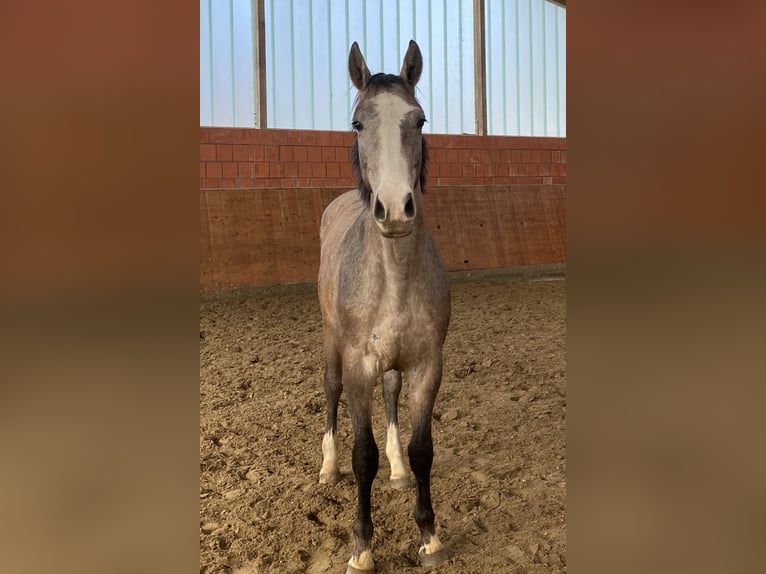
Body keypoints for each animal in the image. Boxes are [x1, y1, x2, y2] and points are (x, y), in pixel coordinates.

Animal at [317, 40, 451, 573]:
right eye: (358, 123)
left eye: (419, 119)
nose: (395, 208)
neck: (392, 278)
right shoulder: (357, 365)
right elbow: (362, 456)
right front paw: (362, 547)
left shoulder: (427, 364)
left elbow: (422, 449)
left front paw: (429, 536)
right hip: (333, 344)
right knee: (330, 391)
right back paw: (327, 466)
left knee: (391, 393)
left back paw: (396, 471)